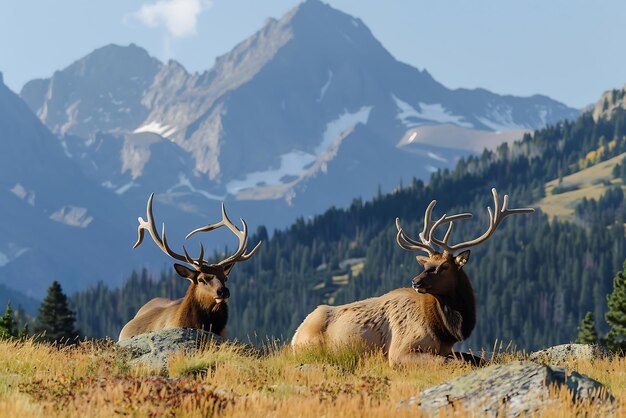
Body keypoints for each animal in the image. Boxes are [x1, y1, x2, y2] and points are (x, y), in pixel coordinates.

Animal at [288, 188, 532, 368]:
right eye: (426, 264)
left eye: (444, 266)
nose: (415, 281)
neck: (446, 330)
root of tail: (295, 336)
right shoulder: (400, 351)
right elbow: (454, 363)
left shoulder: (448, 349)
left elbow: (478, 359)